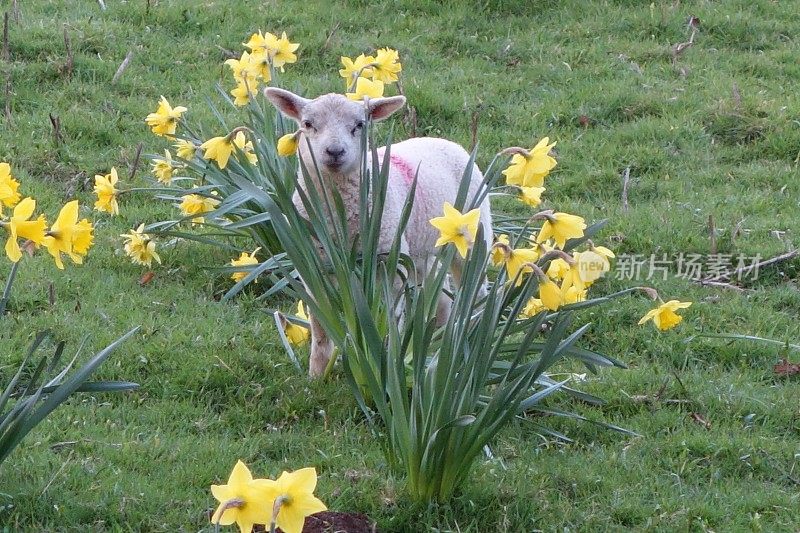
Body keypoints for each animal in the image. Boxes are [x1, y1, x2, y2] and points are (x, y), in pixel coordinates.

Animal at [266, 87, 490, 376]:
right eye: (307, 124)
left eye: (359, 125)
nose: (334, 151)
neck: (339, 217)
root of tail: (444, 141)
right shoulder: (314, 266)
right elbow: (320, 325)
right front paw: (317, 374)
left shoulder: (389, 263)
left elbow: (390, 316)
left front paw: (388, 358)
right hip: (418, 244)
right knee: (436, 284)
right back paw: (441, 332)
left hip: (473, 231)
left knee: (476, 285)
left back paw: (473, 331)